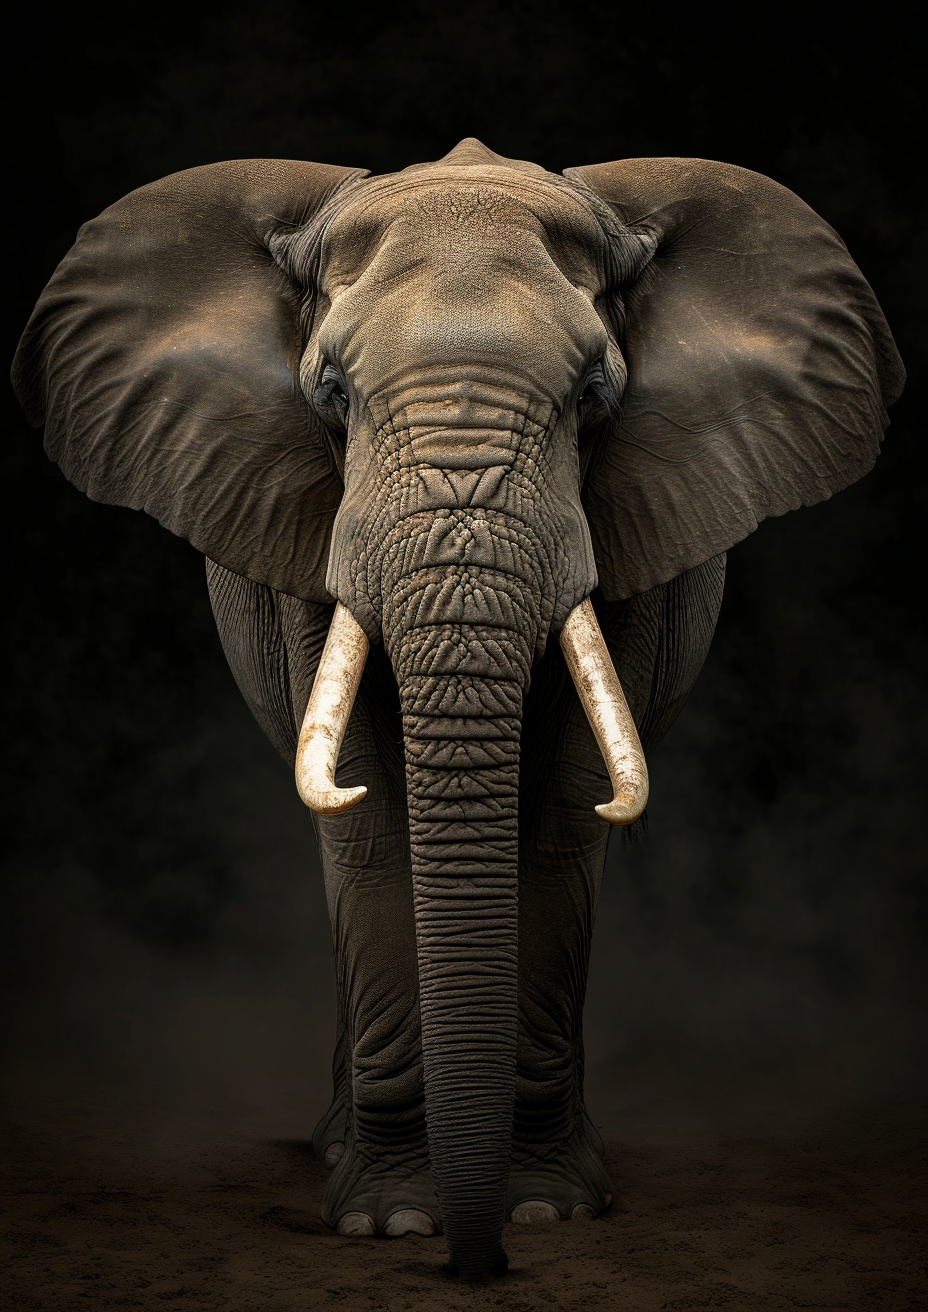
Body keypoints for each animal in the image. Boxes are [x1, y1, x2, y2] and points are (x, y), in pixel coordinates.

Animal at [13, 137, 902, 1280]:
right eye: (331, 391)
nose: (479, 1267)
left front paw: (545, 1209)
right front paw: (392, 1219)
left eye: (593, 395)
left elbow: (564, 817)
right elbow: (370, 819)